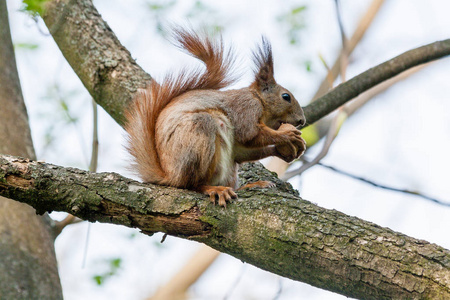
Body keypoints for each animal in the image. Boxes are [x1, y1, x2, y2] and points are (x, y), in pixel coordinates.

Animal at [125, 27, 304, 206]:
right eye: (286, 97)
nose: (302, 121)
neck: (259, 99)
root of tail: (170, 176)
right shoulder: (246, 107)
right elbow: (249, 134)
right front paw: (286, 134)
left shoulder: (239, 146)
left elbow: (243, 151)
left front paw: (281, 151)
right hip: (199, 135)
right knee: (191, 184)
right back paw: (214, 189)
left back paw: (250, 185)